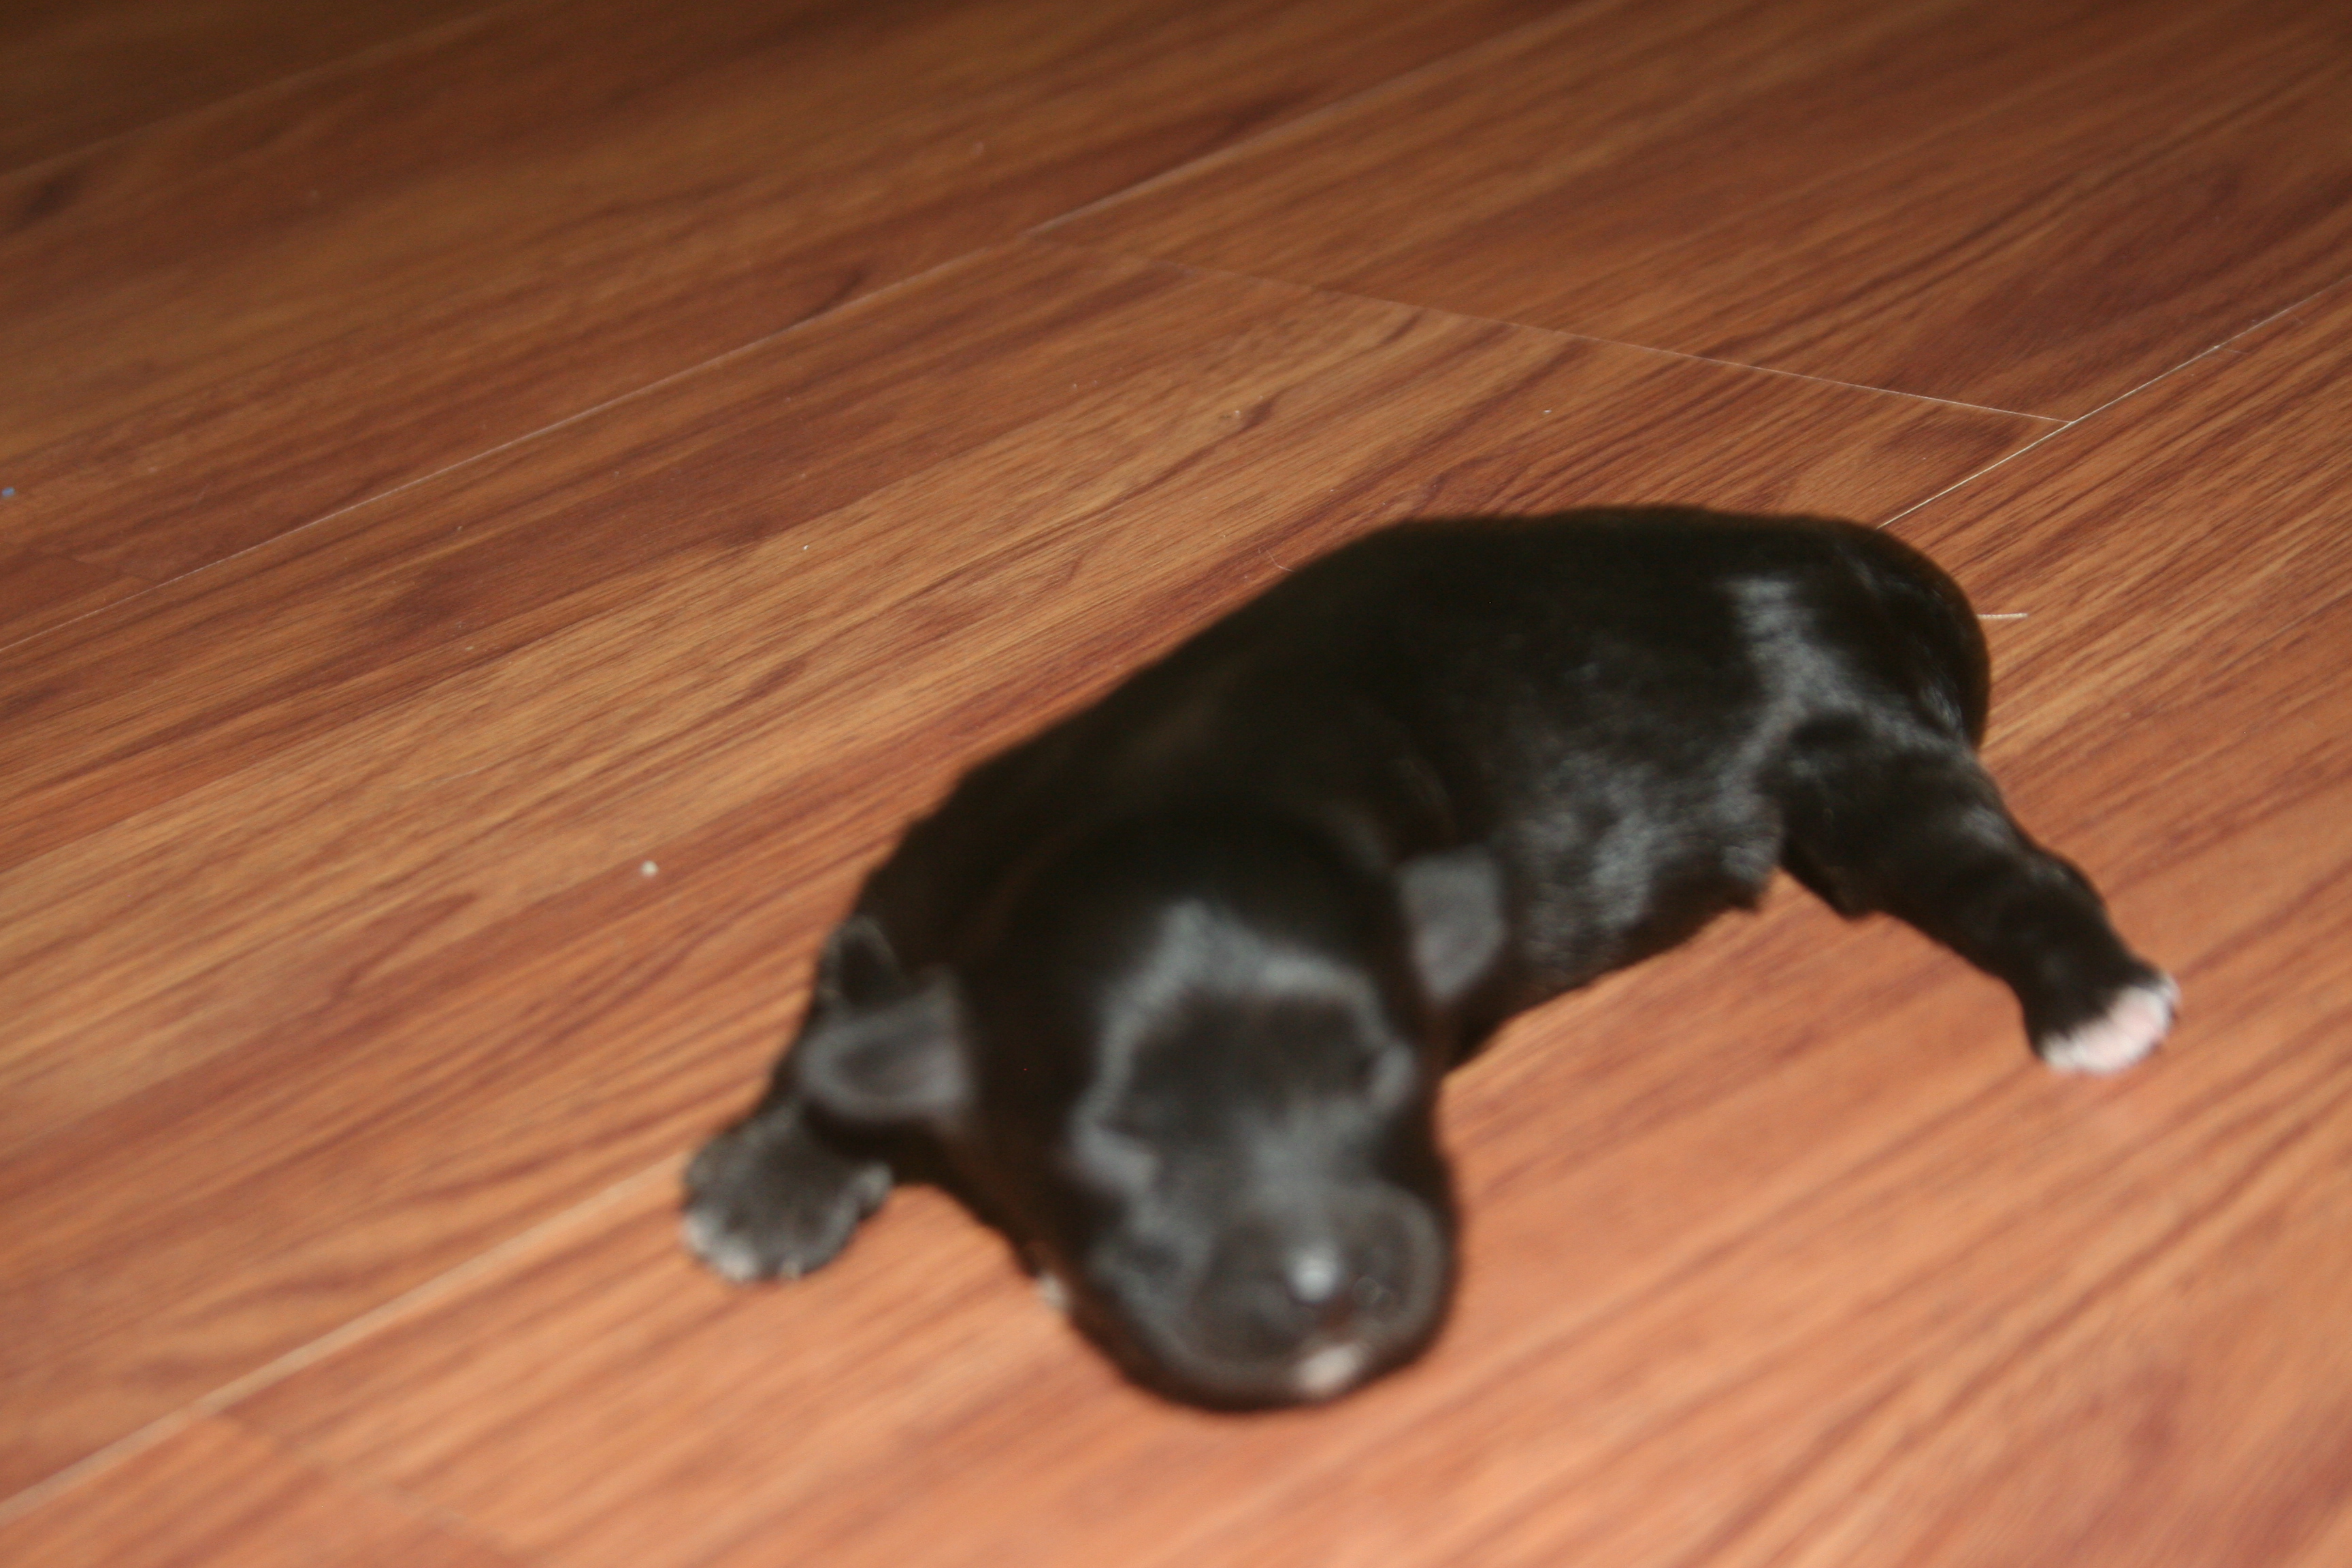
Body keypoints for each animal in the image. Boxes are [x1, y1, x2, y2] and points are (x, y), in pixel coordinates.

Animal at [682, 507, 2176, 1409]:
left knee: (2013, 873)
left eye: (1385, 1073)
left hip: (1866, 768)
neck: (1159, 801)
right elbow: (834, 1016)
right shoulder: (914, 880)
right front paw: (772, 1177)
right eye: (1124, 1134)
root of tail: (1812, 548)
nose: (1328, 1286)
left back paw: (2095, 996)